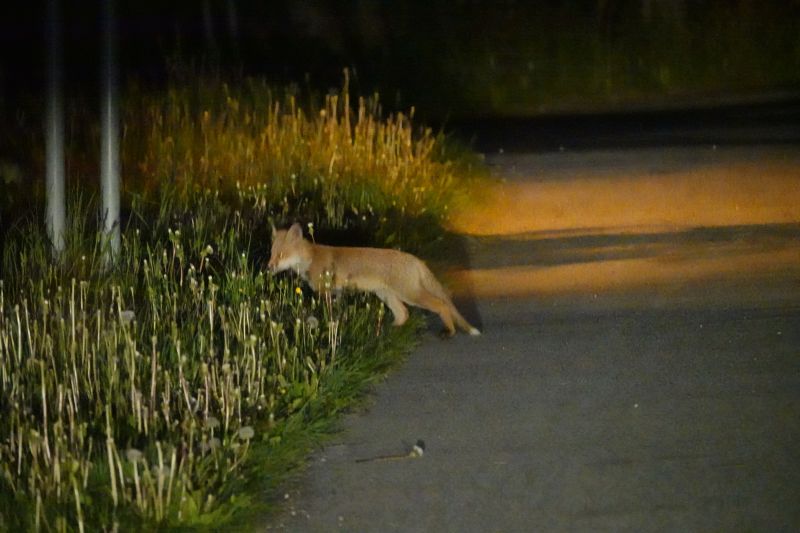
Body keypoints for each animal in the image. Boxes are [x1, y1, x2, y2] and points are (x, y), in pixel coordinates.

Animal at [268, 223, 480, 337]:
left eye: (281, 255)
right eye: (271, 254)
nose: (268, 267)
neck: (311, 258)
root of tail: (415, 259)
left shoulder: (324, 291)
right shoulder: (336, 293)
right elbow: (335, 313)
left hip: (410, 295)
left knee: (441, 305)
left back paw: (449, 332)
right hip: (387, 296)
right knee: (403, 314)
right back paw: (388, 332)